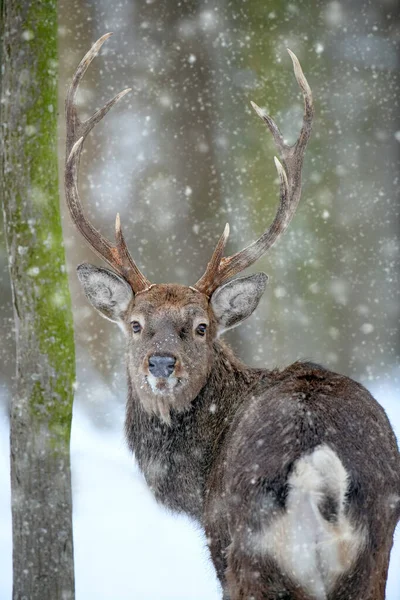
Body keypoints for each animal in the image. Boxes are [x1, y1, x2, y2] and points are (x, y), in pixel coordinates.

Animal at [65, 34, 400, 600]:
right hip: (372, 557)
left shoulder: (217, 545)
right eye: (135, 324)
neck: (194, 484)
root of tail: (318, 473)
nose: (161, 364)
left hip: (251, 557)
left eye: (201, 327)